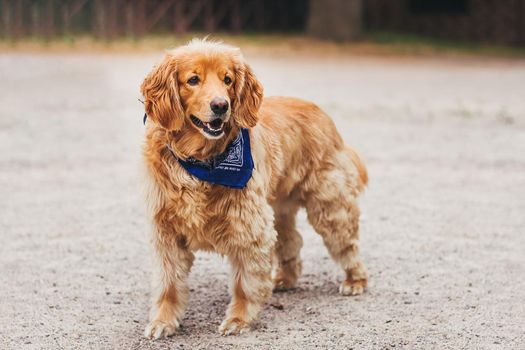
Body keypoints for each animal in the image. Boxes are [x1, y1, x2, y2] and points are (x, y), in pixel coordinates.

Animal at [141, 39, 366, 340]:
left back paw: (355, 280)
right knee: (291, 241)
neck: (200, 162)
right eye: (193, 80)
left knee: (347, 244)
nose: (221, 105)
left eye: (227, 80)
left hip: (329, 207)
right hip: (277, 208)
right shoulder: (166, 232)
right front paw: (163, 321)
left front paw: (238, 319)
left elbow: (245, 283)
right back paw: (285, 279)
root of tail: (322, 114)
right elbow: (169, 285)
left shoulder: (249, 227)